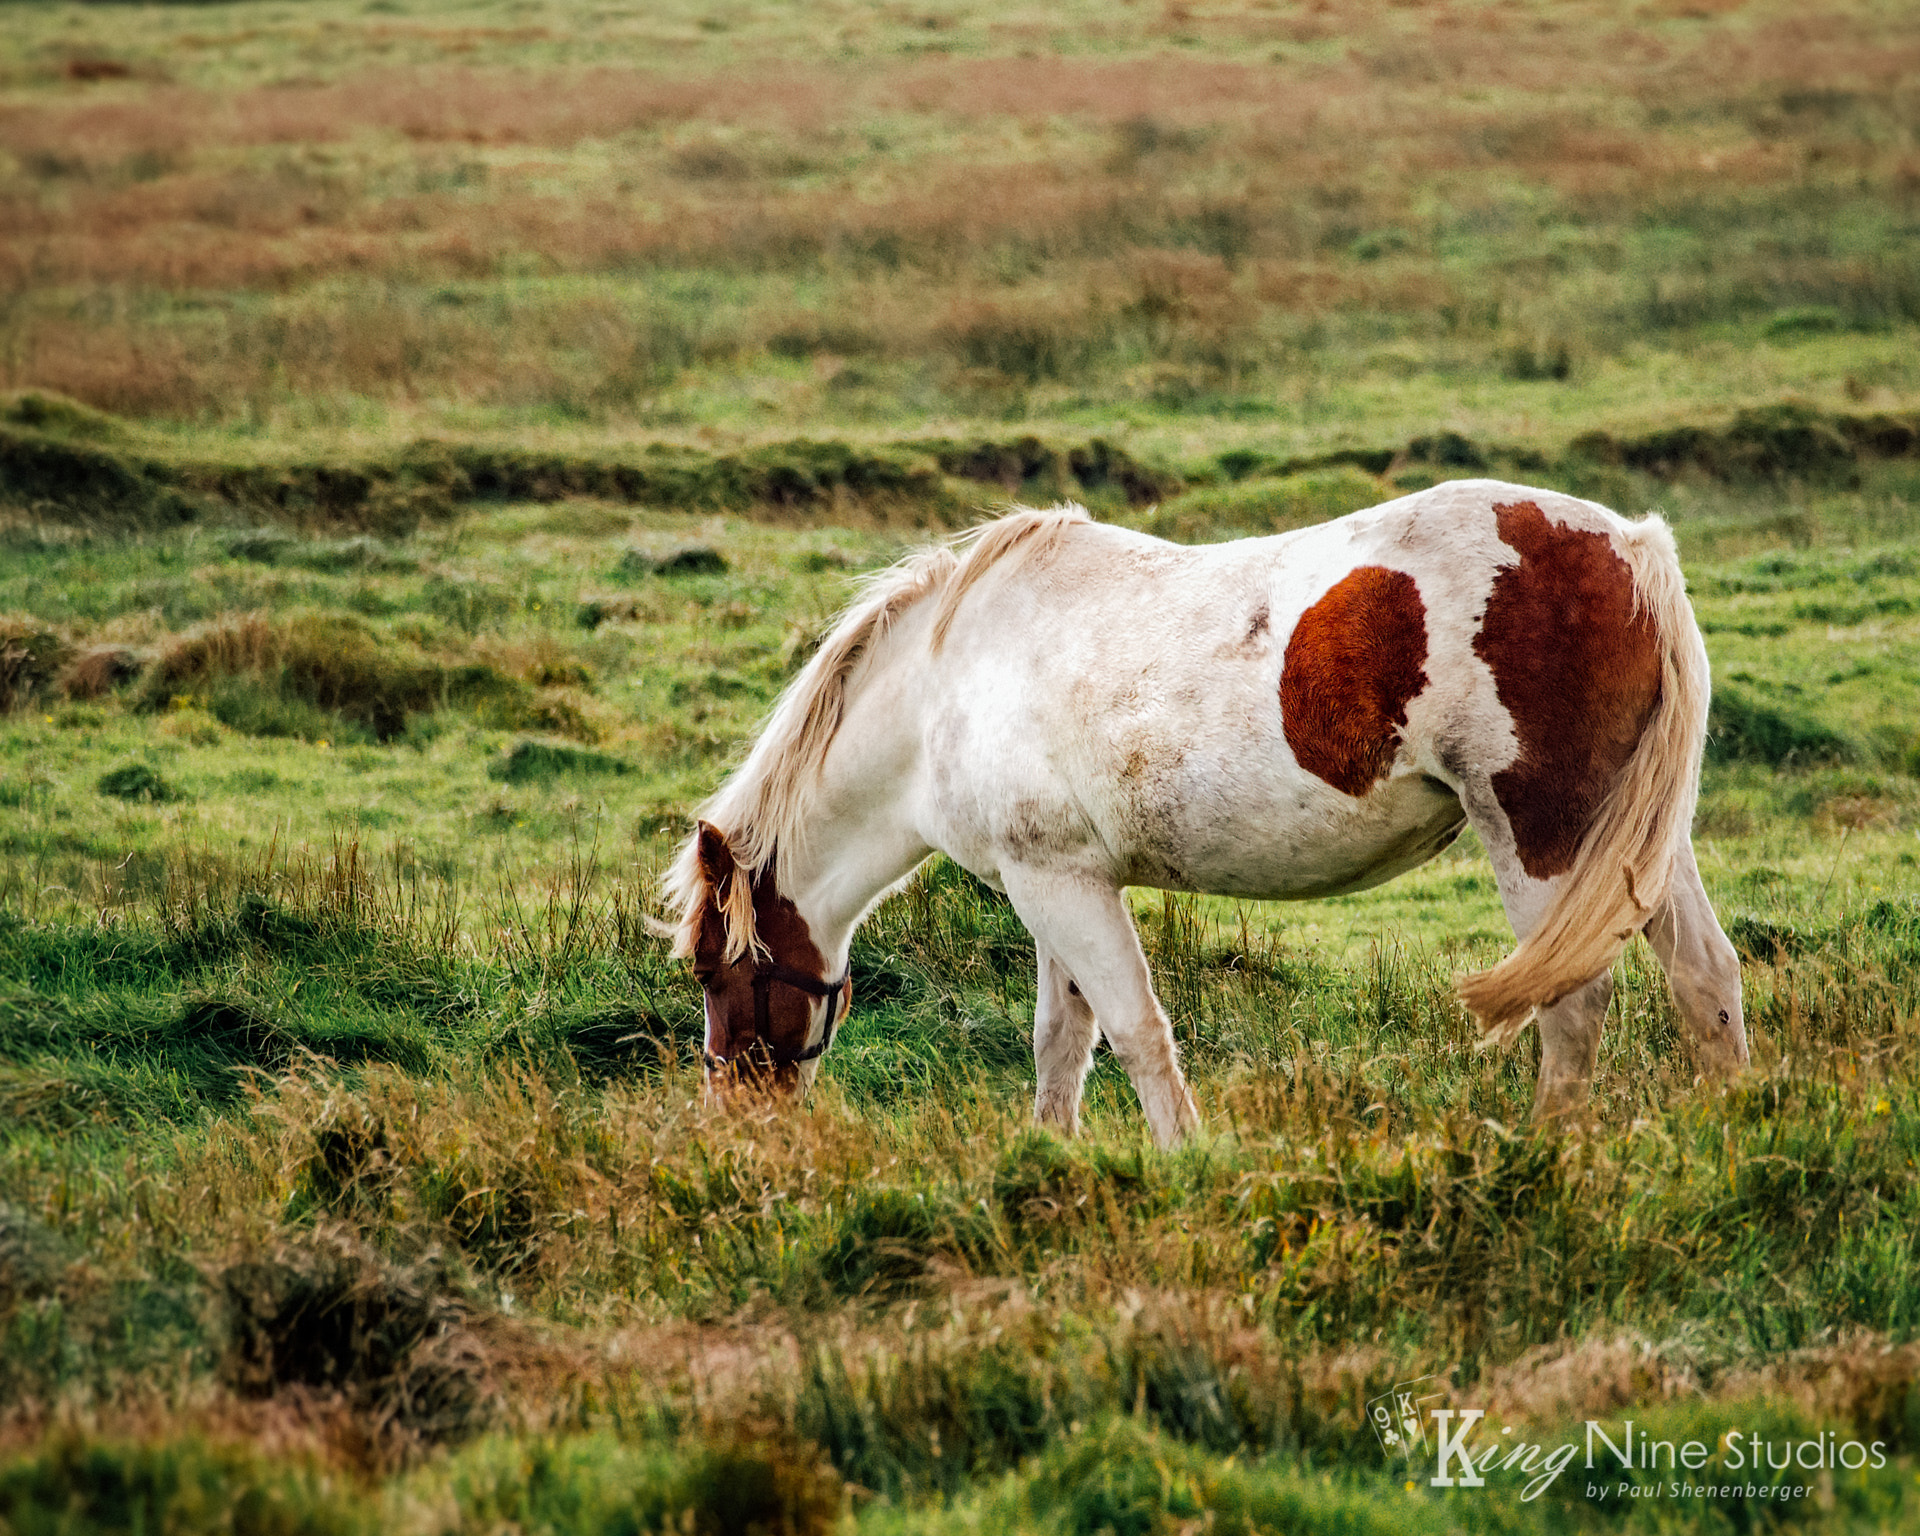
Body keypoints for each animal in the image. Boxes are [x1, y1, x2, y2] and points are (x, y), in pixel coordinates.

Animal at [666, 479, 1749, 1146]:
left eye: (712, 971)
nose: (733, 1118)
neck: (946, 687)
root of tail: (1631, 547)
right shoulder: (1053, 881)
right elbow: (1063, 1040)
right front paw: (1047, 1160)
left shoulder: (1058, 886)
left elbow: (1136, 1031)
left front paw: (1185, 1159)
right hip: (1632, 845)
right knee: (1706, 978)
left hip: (1540, 839)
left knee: (1573, 1005)